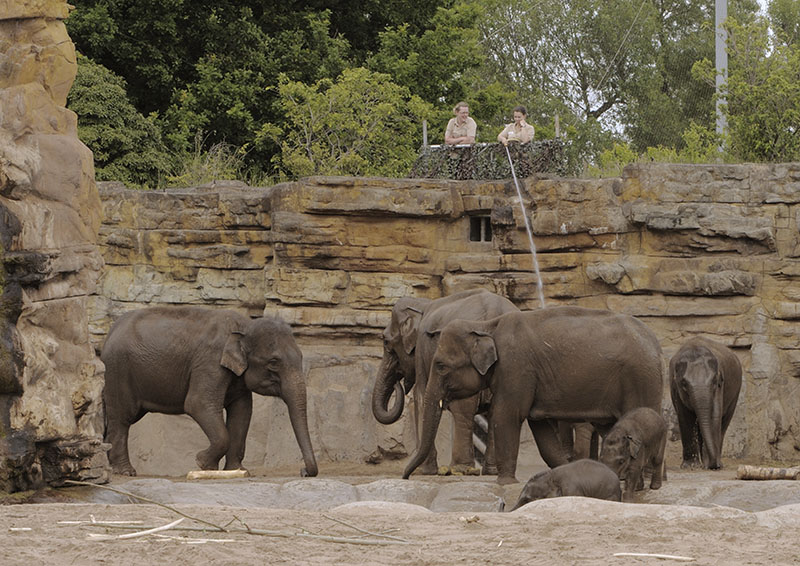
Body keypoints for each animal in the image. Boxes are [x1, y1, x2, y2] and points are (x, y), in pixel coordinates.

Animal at [101, 306, 317, 478]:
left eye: (300, 357)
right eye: (273, 362)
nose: (303, 471)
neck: (244, 326)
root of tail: (111, 331)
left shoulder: (236, 377)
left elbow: (242, 412)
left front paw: (238, 471)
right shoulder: (210, 362)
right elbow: (198, 404)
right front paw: (202, 463)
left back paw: (108, 464)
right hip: (118, 370)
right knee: (122, 418)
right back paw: (125, 471)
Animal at [372, 289, 518, 475]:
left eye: (385, 342)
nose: (398, 382)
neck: (422, 304)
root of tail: (494, 312)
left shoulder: (421, 352)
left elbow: (421, 397)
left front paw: (425, 471)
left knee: (463, 409)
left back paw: (461, 468)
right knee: (497, 409)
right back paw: (491, 472)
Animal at [402, 306, 663, 485]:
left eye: (441, 366)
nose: (405, 477)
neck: (486, 326)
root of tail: (656, 343)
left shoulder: (515, 368)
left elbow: (506, 416)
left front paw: (506, 482)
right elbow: (542, 431)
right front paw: (564, 471)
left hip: (641, 379)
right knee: (610, 428)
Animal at [669, 336, 742, 470]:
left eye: (714, 381)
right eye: (684, 384)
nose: (714, 465)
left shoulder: (719, 387)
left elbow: (715, 414)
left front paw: (710, 465)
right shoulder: (675, 388)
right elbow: (685, 416)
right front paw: (690, 466)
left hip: (736, 393)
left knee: (724, 421)